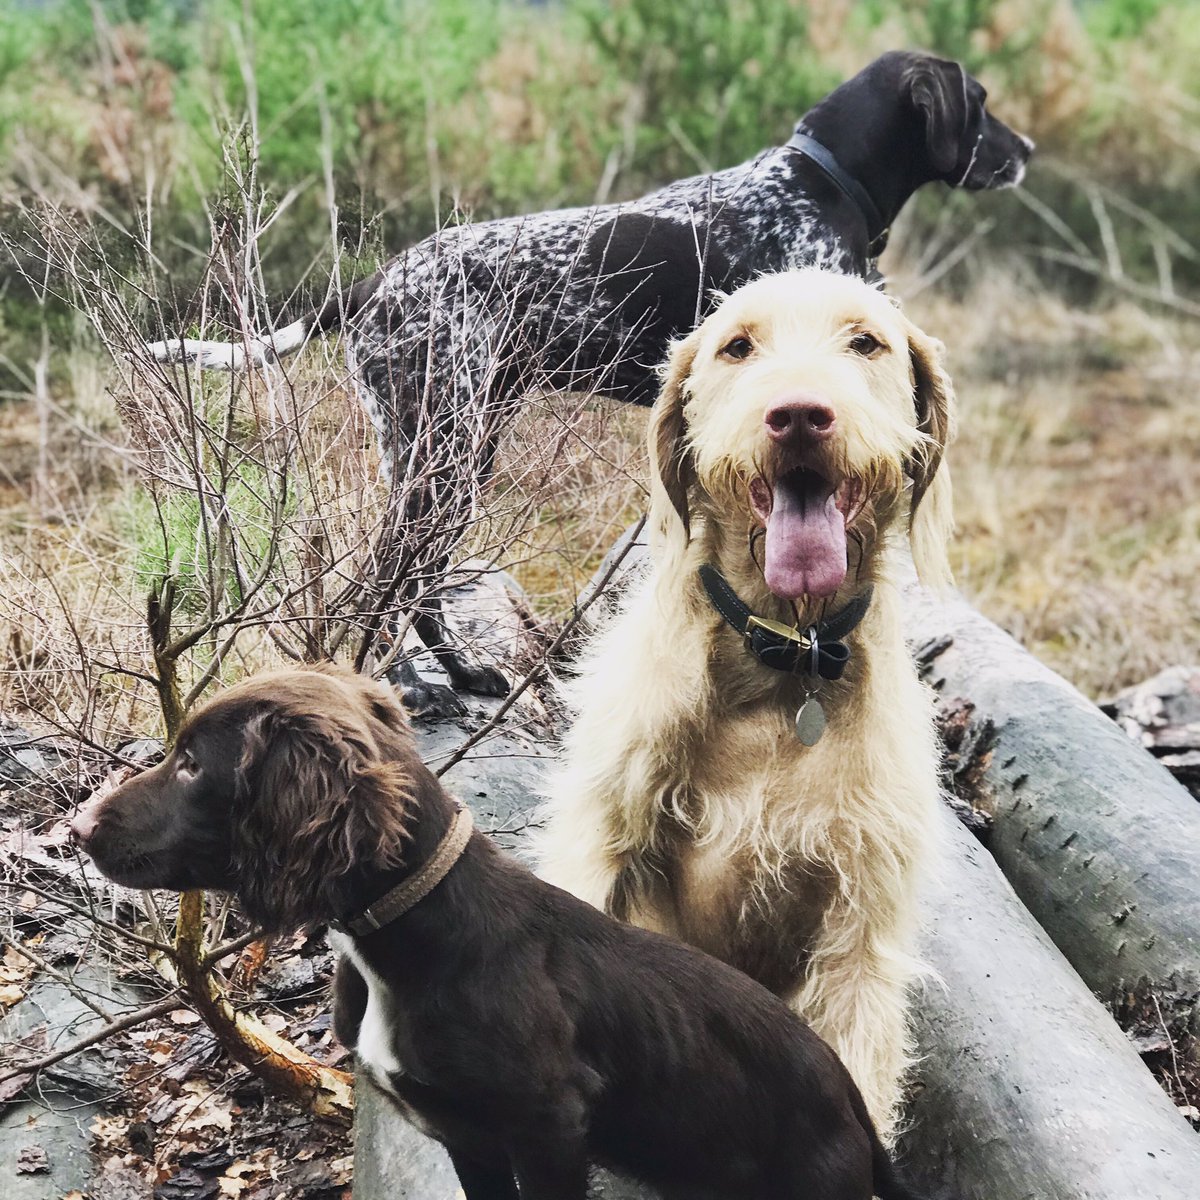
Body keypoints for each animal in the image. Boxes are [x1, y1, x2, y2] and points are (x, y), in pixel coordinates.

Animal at [537, 267, 955, 1137]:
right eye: (737, 347)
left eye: (865, 342)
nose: (798, 415)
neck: (786, 660)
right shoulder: (598, 842)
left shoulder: (860, 927)